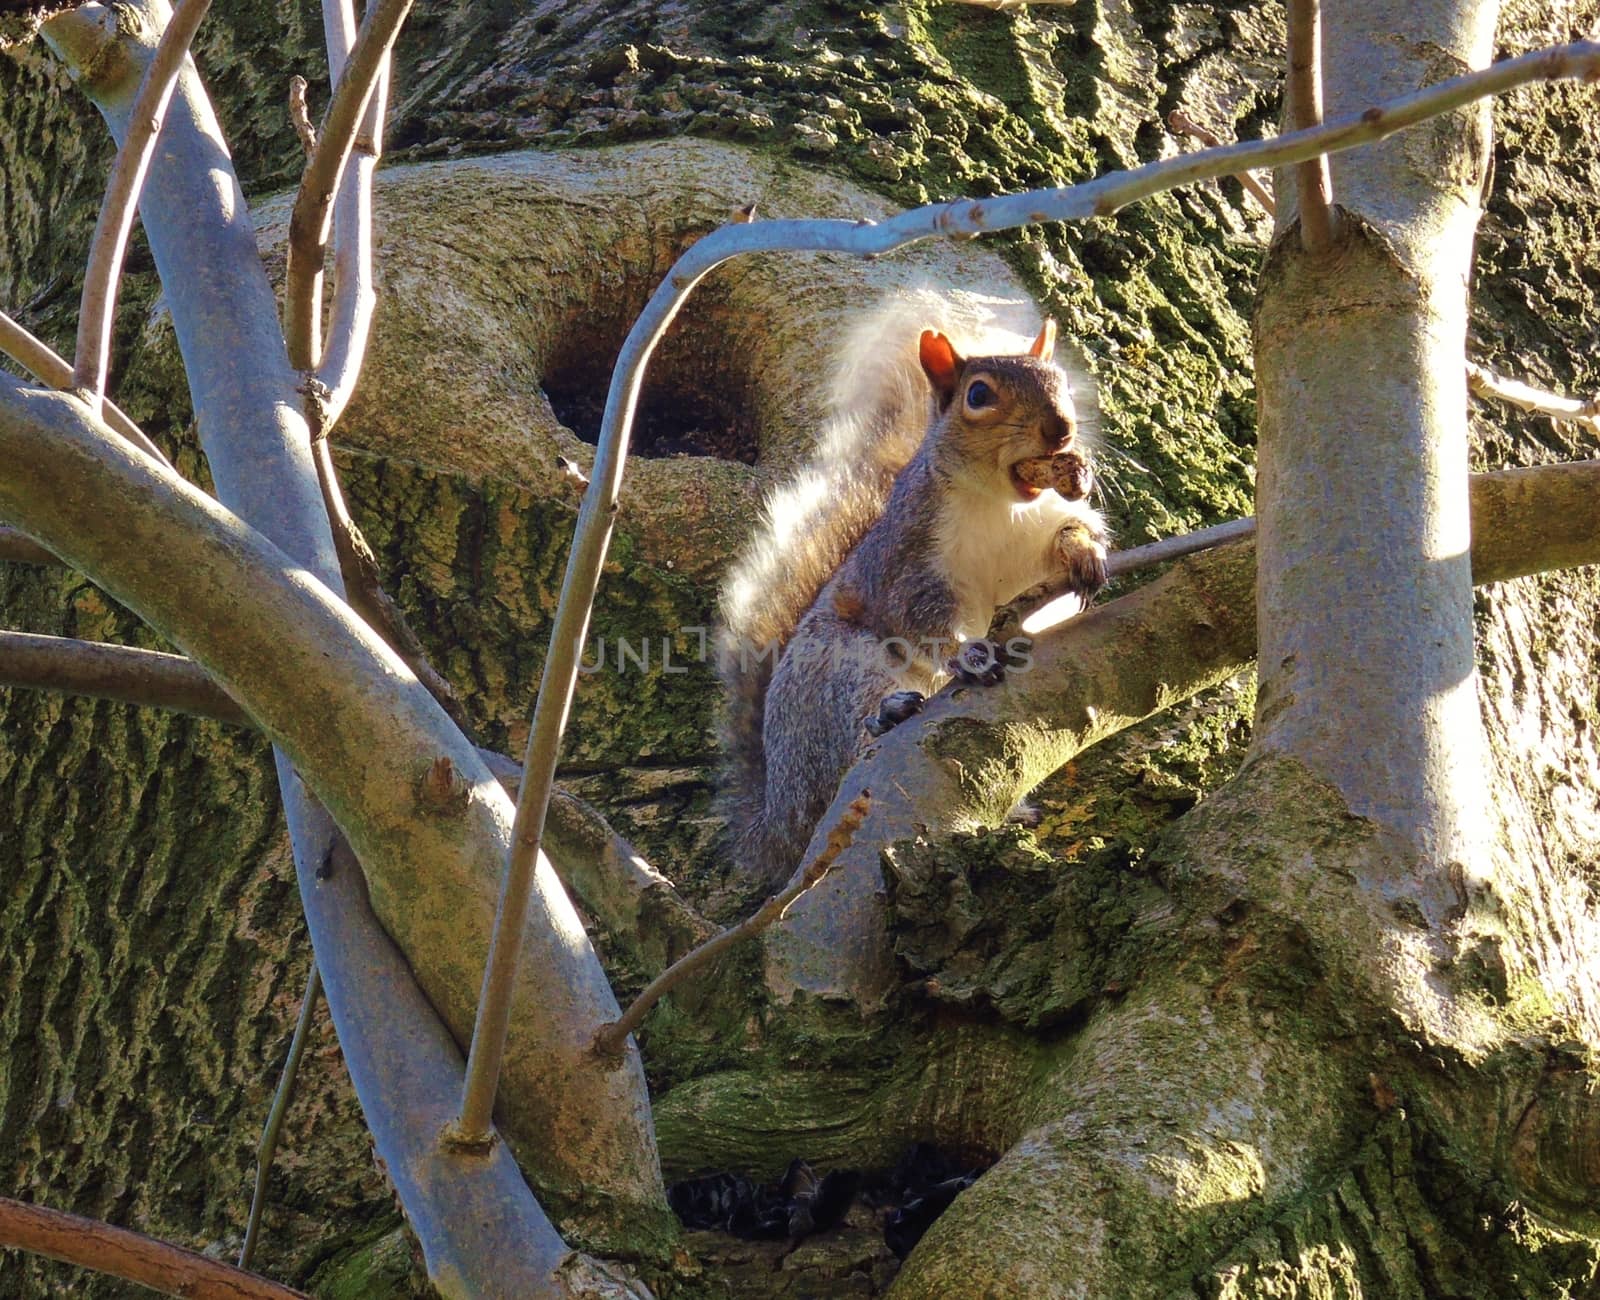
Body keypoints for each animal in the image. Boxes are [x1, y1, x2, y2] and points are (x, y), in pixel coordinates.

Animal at [720, 305, 1107, 896]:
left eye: (1060, 380)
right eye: (978, 395)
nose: (1060, 429)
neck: (1002, 505)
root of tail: (779, 825)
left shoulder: (1033, 542)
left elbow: (1059, 559)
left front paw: (1085, 554)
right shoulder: (909, 562)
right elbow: (922, 620)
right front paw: (967, 652)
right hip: (839, 671)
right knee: (850, 742)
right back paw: (887, 715)